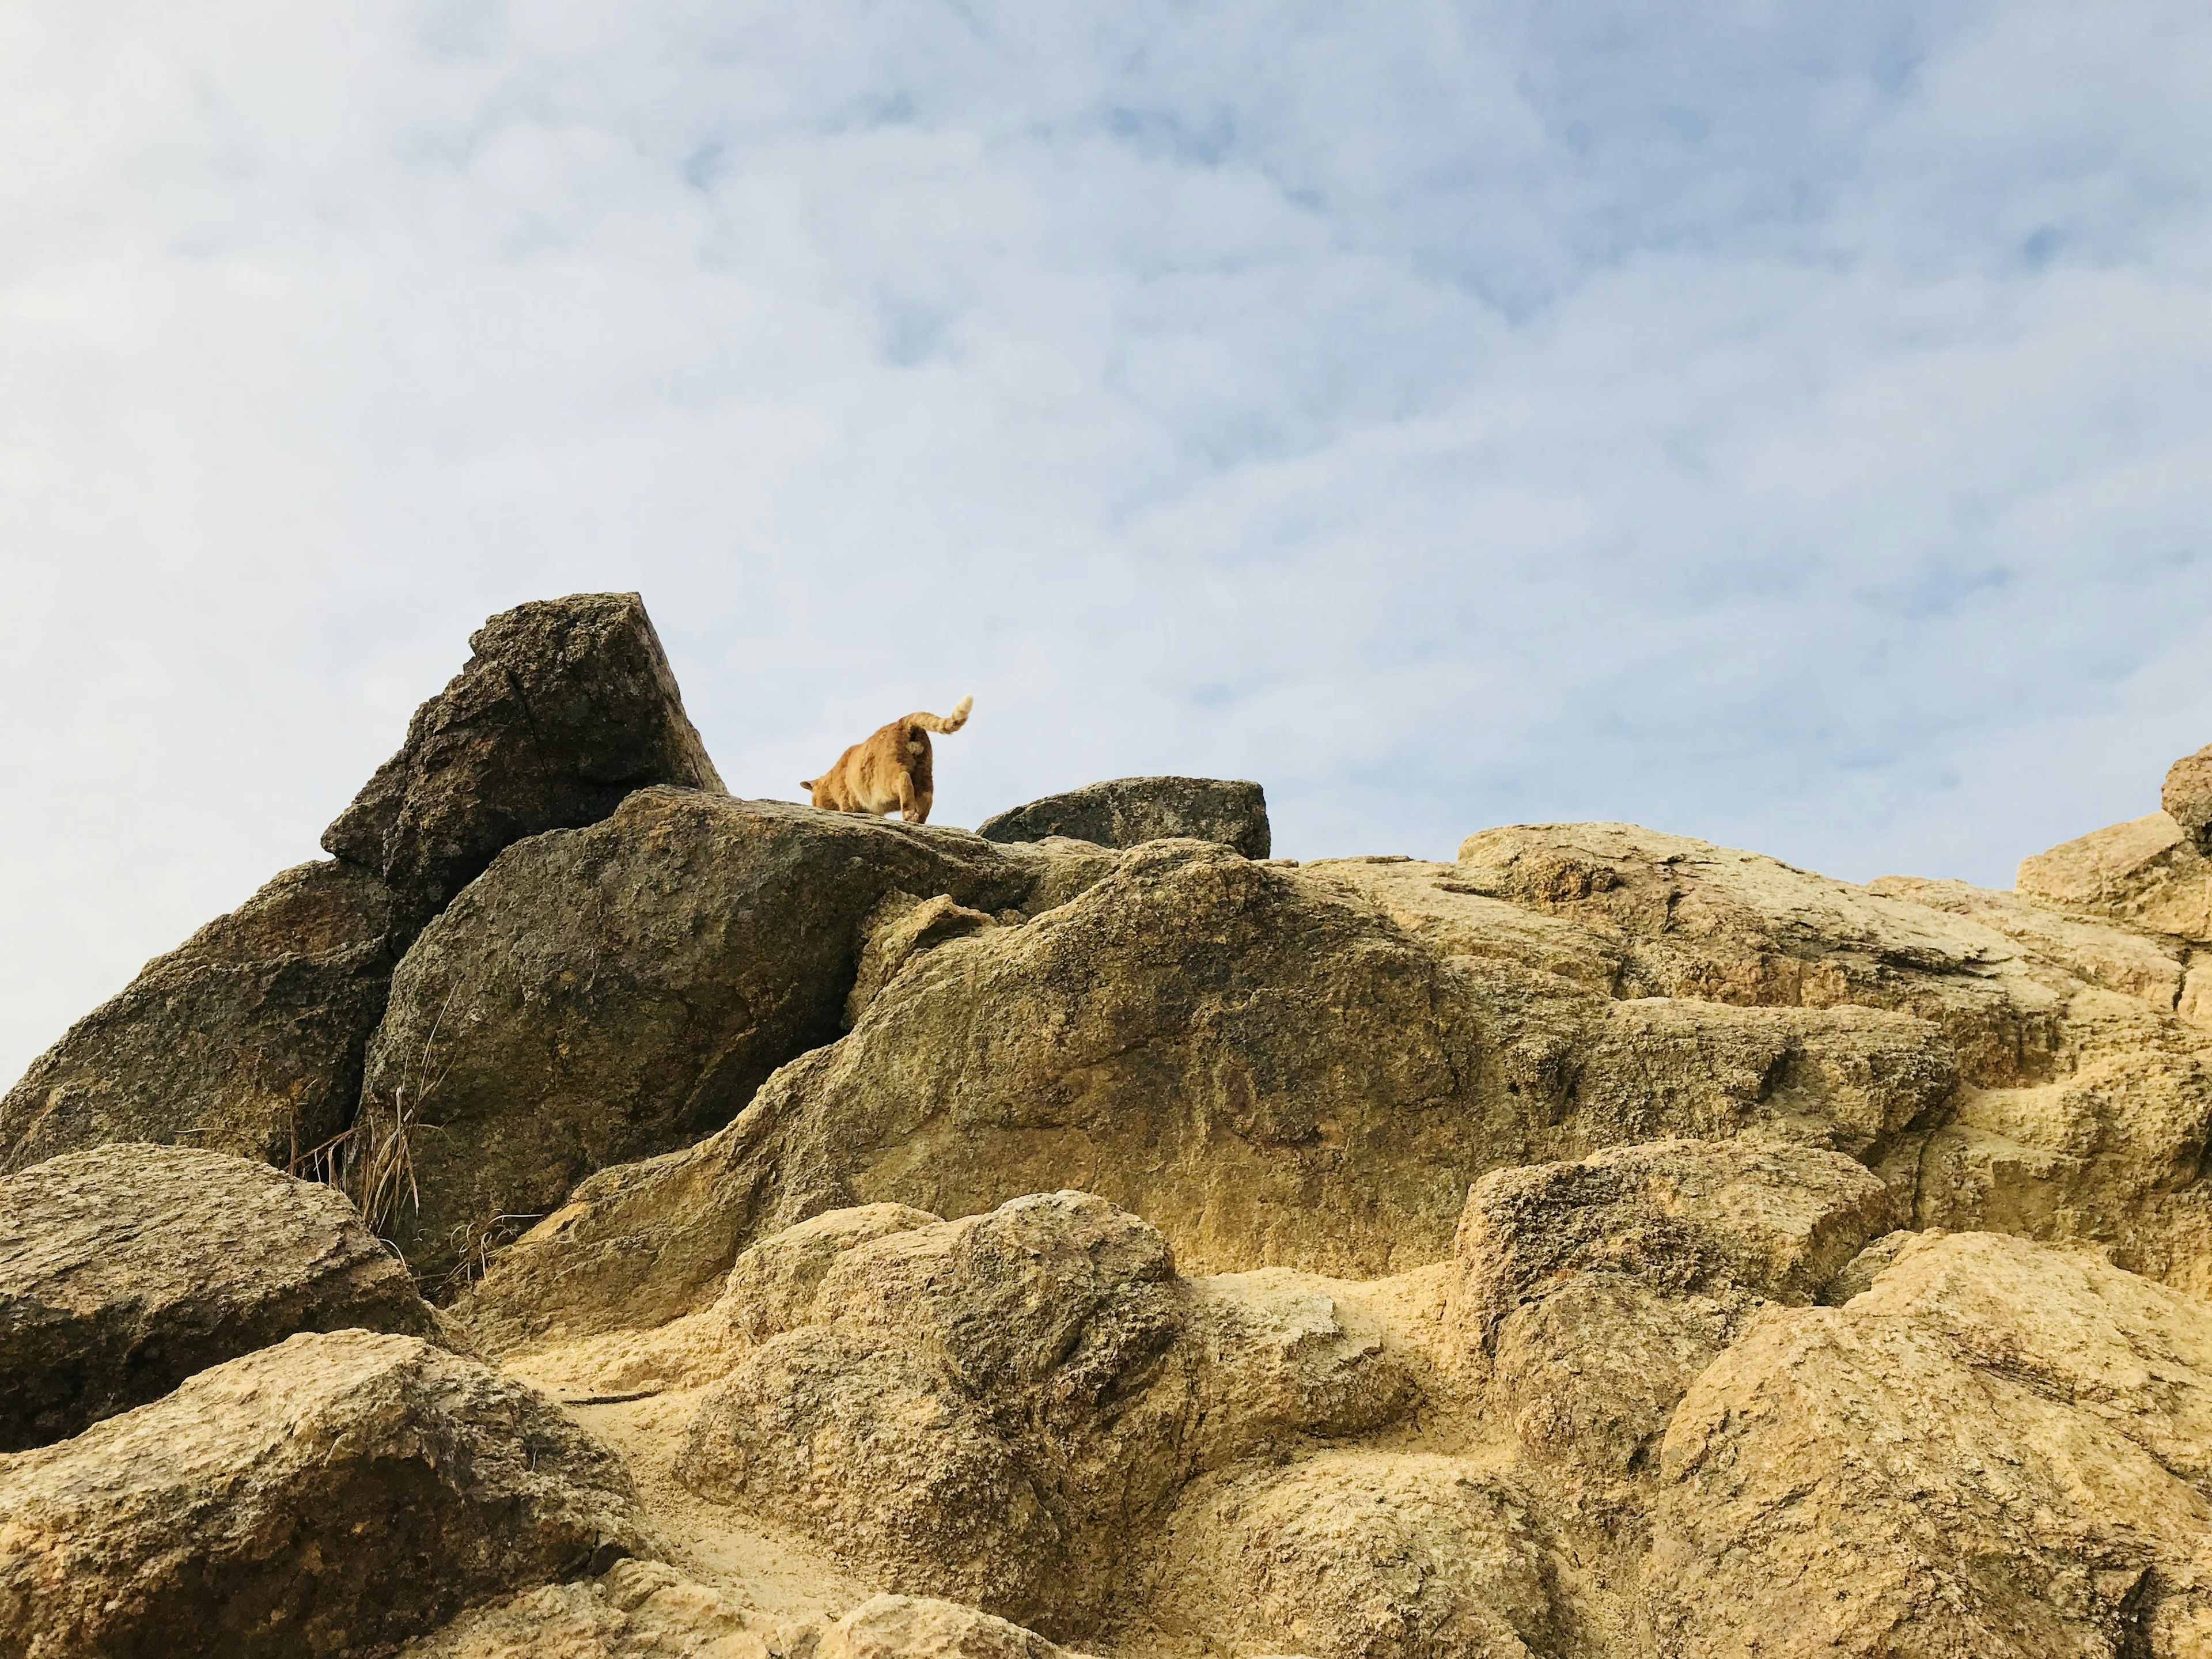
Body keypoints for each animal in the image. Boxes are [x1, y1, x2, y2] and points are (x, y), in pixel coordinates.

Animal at [796, 694, 968, 827]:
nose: (815, 807)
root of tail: (903, 721)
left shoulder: (847, 803)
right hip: (924, 772)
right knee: (927, 796)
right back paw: (919, 819)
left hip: (886, 780)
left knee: (904, 780)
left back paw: (909, 815)